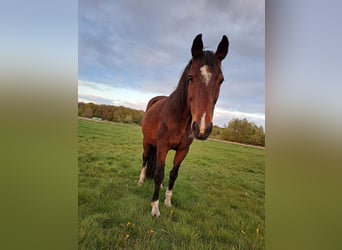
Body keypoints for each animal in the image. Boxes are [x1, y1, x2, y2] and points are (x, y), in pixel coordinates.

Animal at [137, 33, 230, 217]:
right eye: (190, 77)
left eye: (221, 80)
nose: (202, 128)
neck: (179, 118)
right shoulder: (162, 146)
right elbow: (159, 173)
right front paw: (155, 207)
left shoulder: (183, 150)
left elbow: (173, 174)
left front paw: (167, 202)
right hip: (147, 142)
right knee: (145, 159)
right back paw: (141, 181)